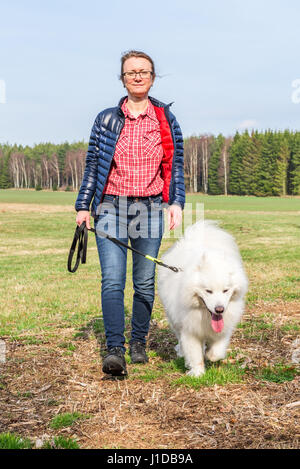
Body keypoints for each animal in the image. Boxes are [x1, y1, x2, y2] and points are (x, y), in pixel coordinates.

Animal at [157, 219, 248, 376]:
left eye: (225, 290)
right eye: (208, 291)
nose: (219, 309)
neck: (204, 314)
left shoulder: (224, 328)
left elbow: (216, 351)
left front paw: (210, 355)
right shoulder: (190, 330)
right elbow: (195, 355)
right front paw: (197, 373)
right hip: (174, 319)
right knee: (179, 337)